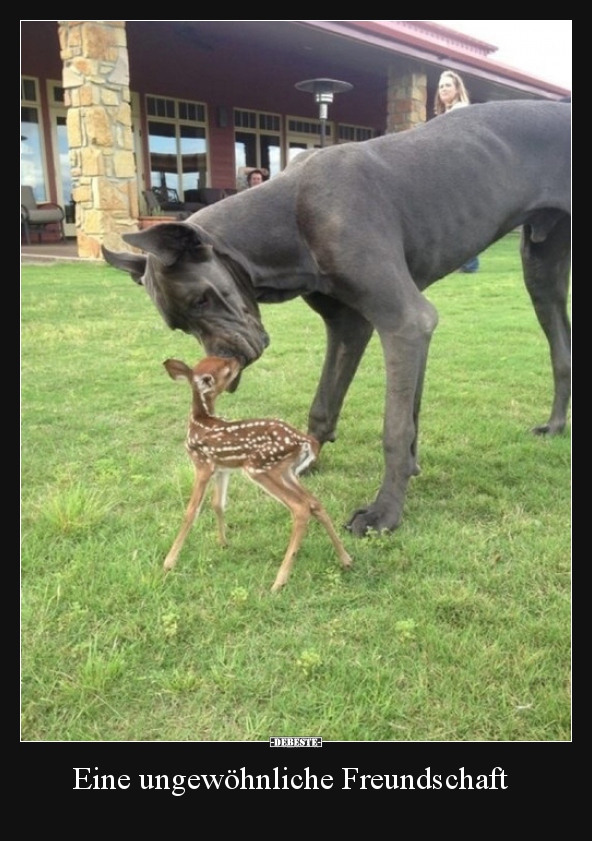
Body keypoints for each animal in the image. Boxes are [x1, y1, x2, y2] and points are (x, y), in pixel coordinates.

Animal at [104, 98, 572, 532]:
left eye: (203, 300)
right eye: (179, 325)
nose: (223, 367)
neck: (288, 216)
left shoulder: (405, 321)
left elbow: (395, 427)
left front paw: (385, 512)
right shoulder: (351, 325)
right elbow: (329, 404)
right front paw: (308, 459)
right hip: (540, 272)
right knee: (561, 353)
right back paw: (554, 427)